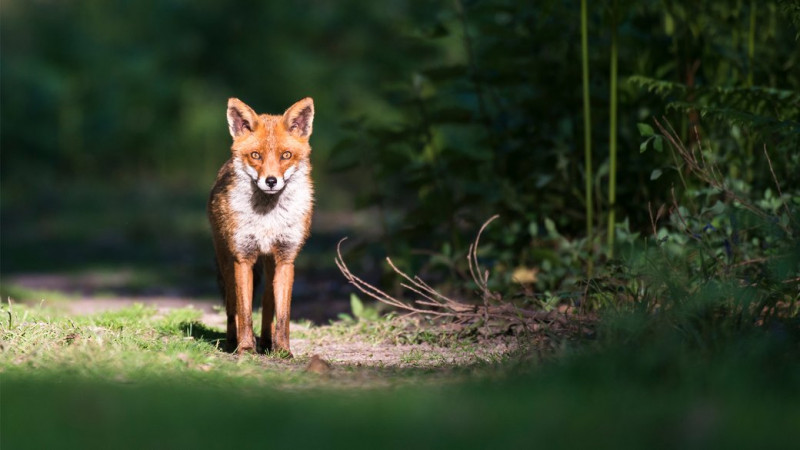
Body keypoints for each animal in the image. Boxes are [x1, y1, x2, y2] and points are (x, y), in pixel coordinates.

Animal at [208, 96, 314, 356]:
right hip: (226, 262)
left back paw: (267, 340)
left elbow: (283, 315)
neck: (268, 219)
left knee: (267, 303)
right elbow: (245, 311)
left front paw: (283, 350)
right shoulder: (243, 258)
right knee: (231, 306)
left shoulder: (286, 259)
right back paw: (232, 341)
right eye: (256, 155)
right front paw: (246, 347)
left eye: (286, 155)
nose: (271, 181)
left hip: (270, 265)